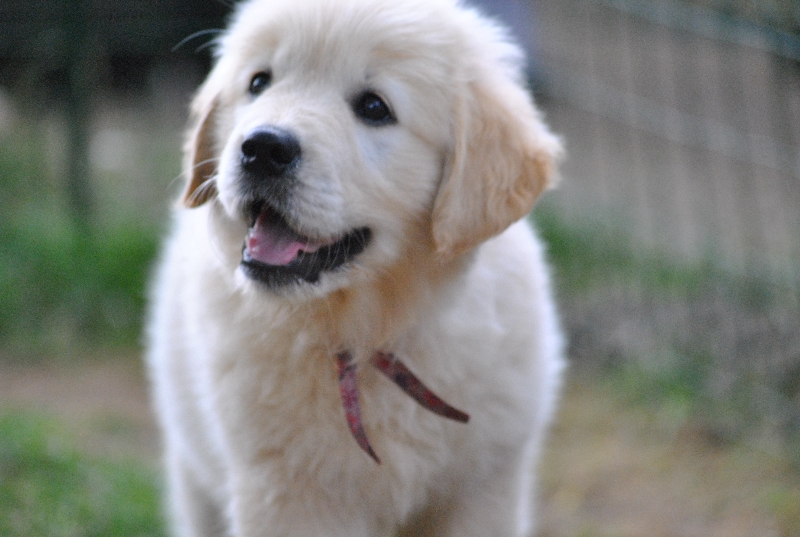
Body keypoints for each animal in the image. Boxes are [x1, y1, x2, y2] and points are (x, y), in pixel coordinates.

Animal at [148, 0, 564, 532]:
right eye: (259, 82)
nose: (262, 148)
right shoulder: (289, 498)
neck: (369, 333)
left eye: (373, 108)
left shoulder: (481, 491)